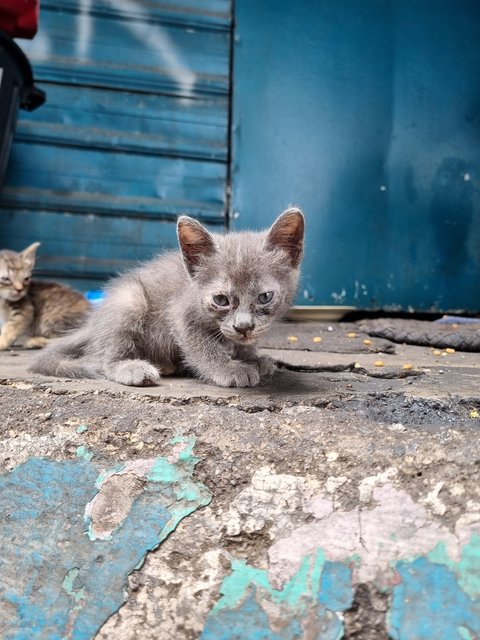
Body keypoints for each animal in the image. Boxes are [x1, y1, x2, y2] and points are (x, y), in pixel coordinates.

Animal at [31, 209, 304, 390]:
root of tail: (93, 324)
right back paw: (130, 368)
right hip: (130, 299)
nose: (244, 327)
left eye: (265, 297)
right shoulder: (179, 312)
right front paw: (228, 369)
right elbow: (201, 346)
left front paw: (251, 357)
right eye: (221, 299)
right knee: (100, 358)